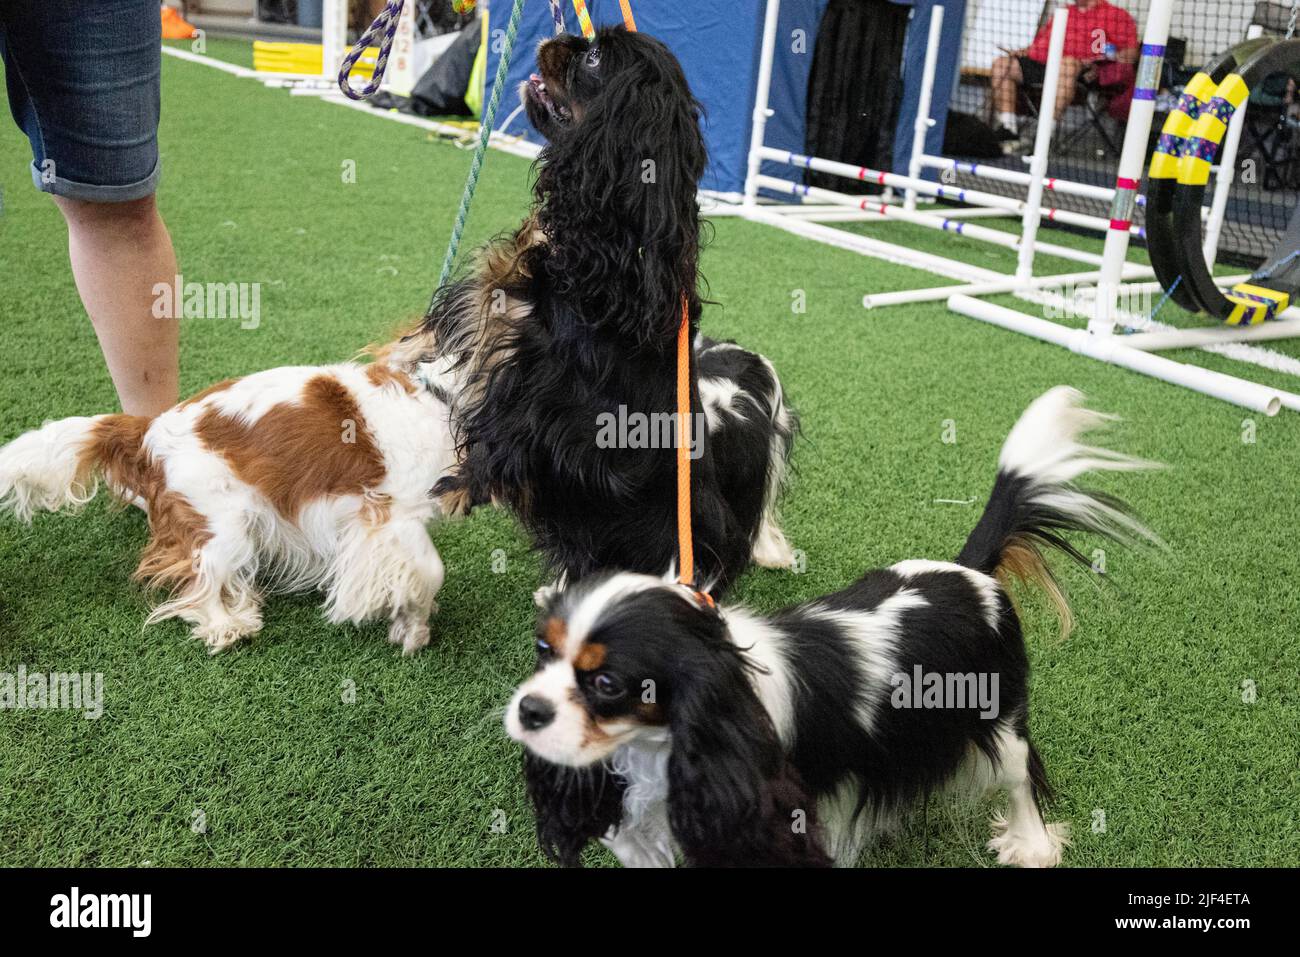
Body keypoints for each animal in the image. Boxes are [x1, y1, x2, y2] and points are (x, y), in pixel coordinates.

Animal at [0, 361, 457, 657]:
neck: (439, 397)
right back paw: (225, 625)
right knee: (201, 577)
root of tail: (149, 431)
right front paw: (415, 627)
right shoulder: (393, 514)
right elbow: (430, 569)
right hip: (222, 522)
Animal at [504, 390, 1159, 868]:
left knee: (1020, 776)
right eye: (542, 650)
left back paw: (1031, 847)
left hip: (998, 719)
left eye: (607, 683)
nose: (528, 709)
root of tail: (969, 572)